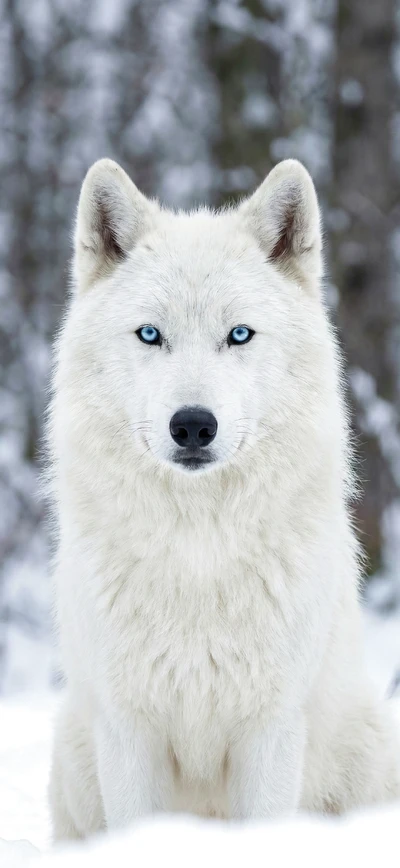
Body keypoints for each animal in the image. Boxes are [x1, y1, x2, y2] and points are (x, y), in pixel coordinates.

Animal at [48, 157, 400, 839]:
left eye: (239, 335)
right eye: (150, 334)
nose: (192, 425)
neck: (197, 551)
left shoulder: (271, 728)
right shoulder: (128, 731)